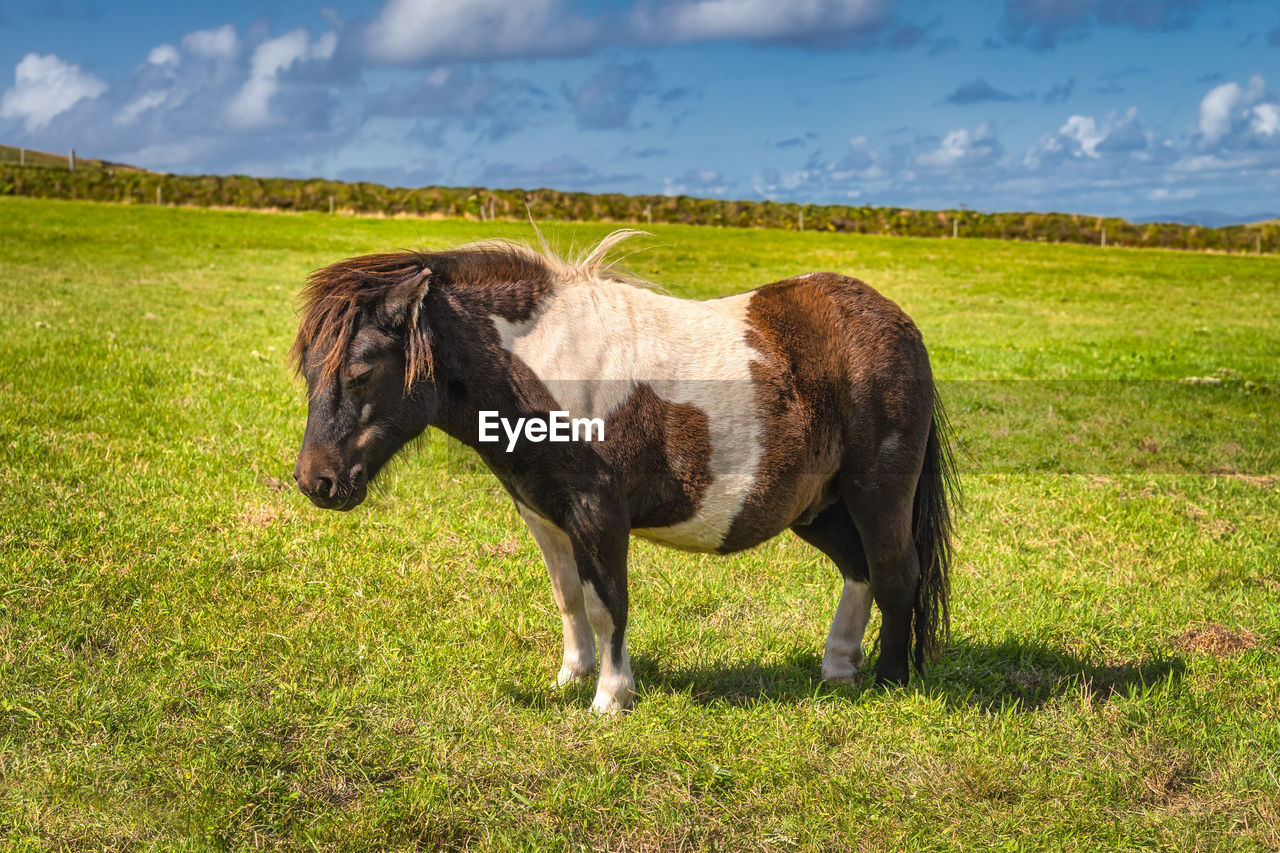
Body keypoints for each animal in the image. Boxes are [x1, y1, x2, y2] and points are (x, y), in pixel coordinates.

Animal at [288, 229, 952, 706]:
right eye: (310, 368)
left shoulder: (597, 512)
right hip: (817, 507)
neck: (538, 369)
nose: (317, 482)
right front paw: (573, 678)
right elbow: (569, 596)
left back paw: (891, 681)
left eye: (363, 368)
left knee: (896, 572)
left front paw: (611, 697)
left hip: (877, 494)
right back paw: (839, 667)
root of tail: (898, 323)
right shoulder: (543, 514)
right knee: (859, 568)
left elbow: (608, 602)